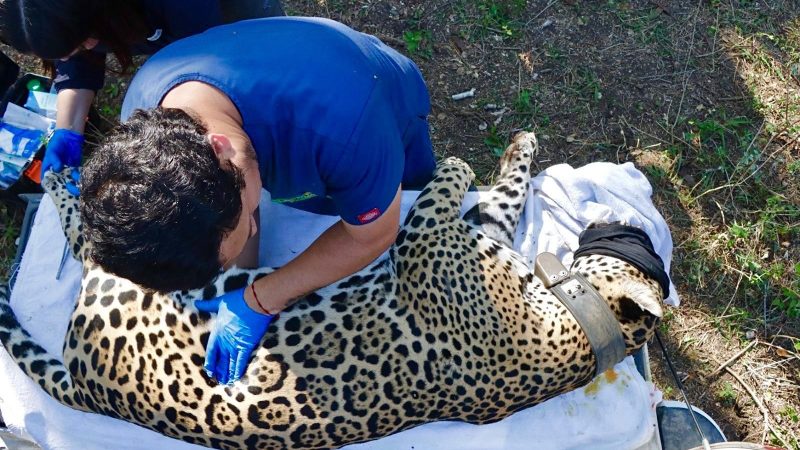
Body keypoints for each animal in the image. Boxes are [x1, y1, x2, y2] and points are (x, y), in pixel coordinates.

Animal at [0, 132, 665, 449]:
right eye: (633, 237)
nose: (622, 222)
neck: (578, 321)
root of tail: (93, 390)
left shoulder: (424, 241)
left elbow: (445, 188)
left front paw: (454, 164)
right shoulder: (479, 234)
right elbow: (506, 193)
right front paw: (518, 149)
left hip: (146, 280)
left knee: (87, 240)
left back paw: (66, 178)